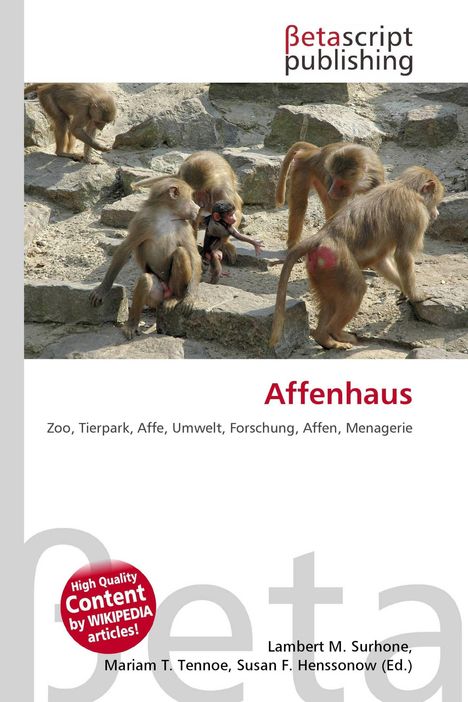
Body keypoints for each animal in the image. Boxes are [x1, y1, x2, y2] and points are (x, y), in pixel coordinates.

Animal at [89, 176, 201, 340]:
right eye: (191, 197)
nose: (198, 208)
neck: (167, 216)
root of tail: (166, 293)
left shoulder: (184, 226)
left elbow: (194, 257)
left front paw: (189, 298)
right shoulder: (143, 223)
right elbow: (124, 250)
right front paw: (102, 290)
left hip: (172, 287)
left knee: (181, 253)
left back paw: (176, 297)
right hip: (155, 297)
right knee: (145, 280)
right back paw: (132, 325)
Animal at [270, 166, 444, 351]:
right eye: (435, 201)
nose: (437, 213)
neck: (407, 187)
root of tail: (322, 236)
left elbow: (380, 261)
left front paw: (403, 290)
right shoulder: (417, 214)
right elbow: (403, 255)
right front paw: (416, 295)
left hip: (320, 268)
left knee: (330, 301)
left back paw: (325, 339)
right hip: (338, 262)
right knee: (355, 290)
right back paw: (335, 332)